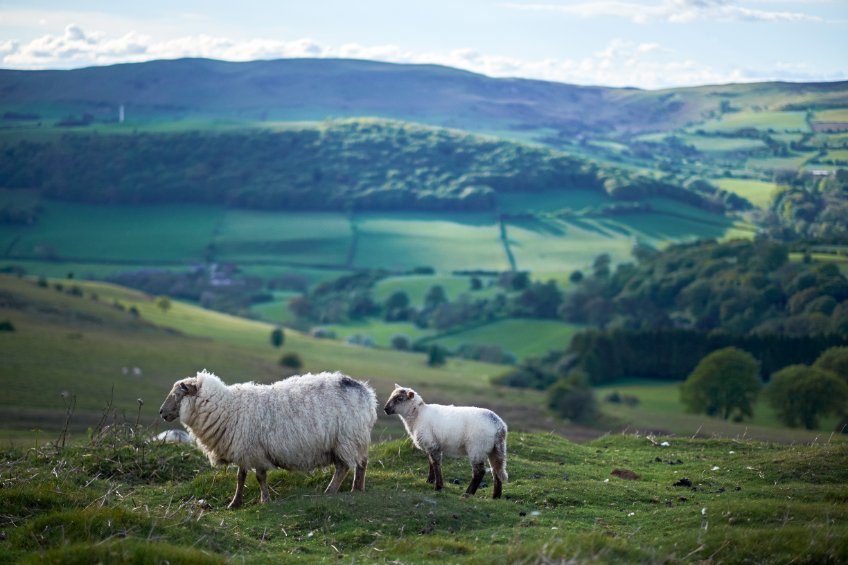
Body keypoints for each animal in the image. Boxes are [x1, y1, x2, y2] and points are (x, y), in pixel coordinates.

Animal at [160, 370, 378, 506]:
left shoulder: (255, 451)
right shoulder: (243, 450)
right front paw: (234, 503)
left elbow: (259, 477)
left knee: (344, 467)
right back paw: (357, 488)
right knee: (362, 463)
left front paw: (264, 500)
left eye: (178, 394)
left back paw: (330, 491)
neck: (228, 408)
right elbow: (240, 477)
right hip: (355, 439)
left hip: (346, 438)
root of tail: (367, 393)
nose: (161, 412)